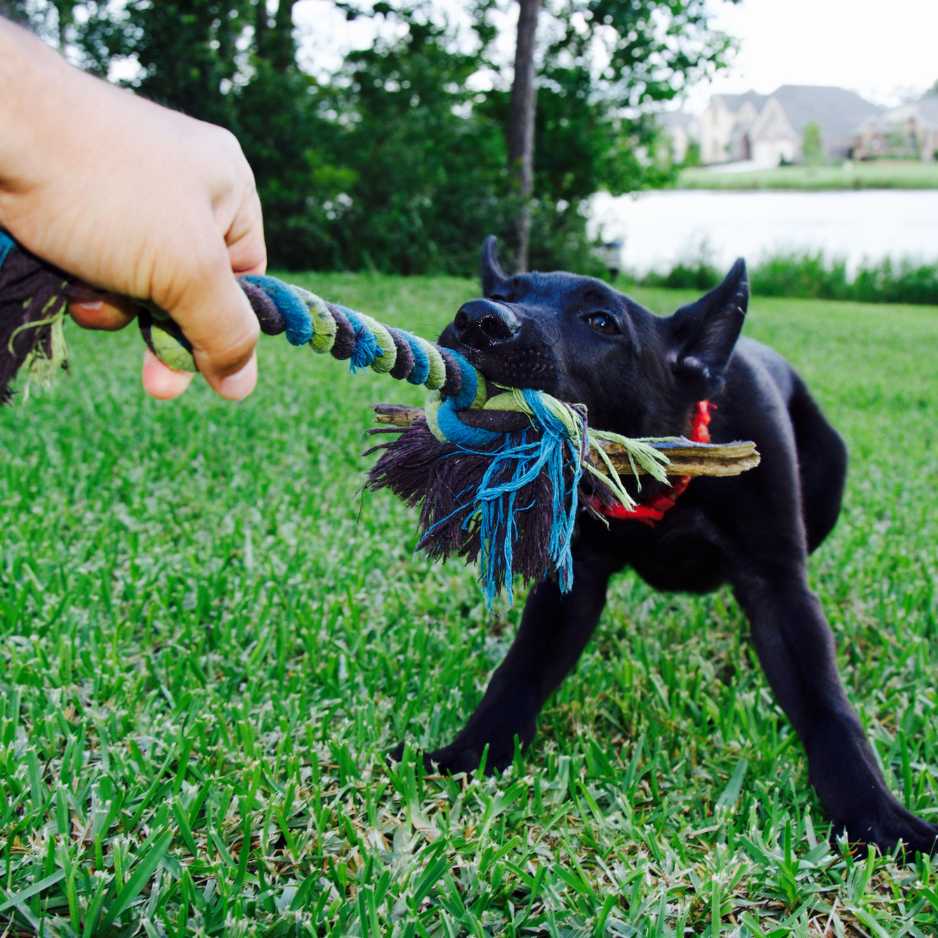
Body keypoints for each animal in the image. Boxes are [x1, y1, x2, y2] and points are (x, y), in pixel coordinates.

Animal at [396, 236, 936, 856]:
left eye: (601, 321)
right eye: (506, 293)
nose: (479, 320)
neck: (657, 471)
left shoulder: (778, 587)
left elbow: (828, 704)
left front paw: (876, 813)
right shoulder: (573, 584)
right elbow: (519, 669)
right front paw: (469, 752)